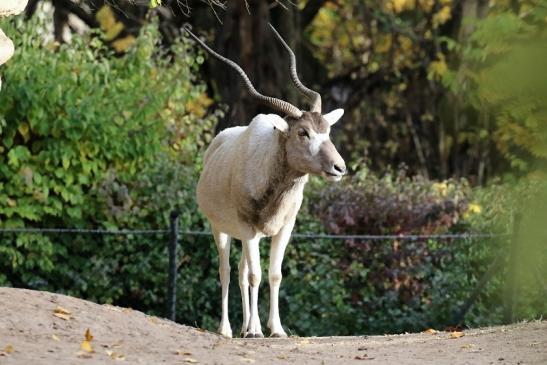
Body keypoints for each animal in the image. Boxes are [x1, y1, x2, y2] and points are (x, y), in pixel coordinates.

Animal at [186, 24, 344, 336]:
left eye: (327, 131)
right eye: (303, 132)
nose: (339, 167)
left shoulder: (283, 228)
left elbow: (273, 274)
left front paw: (276, 329)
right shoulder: (247, 228)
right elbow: (255, 276)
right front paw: (257, 330)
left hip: (252, 235)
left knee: (241, 270)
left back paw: (248, 326)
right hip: (221, 228)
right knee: (227, 270)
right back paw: (229, 329)